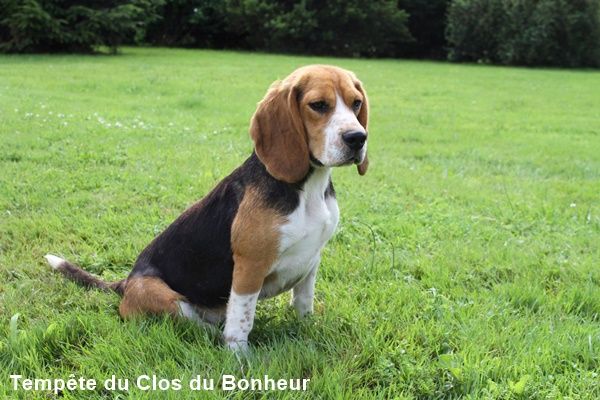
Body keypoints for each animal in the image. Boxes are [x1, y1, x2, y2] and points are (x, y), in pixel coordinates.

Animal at [44, 65, 368, 350]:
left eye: (356, 103)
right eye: (318, 105)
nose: (358, 138)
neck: (309, 187)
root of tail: (125, 283)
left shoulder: (311, 261)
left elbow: (303, 304)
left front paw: (307, 332)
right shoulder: (249, 268)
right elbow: (241, 322)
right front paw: (239, 360)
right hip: (162, 296)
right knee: (201, 326)